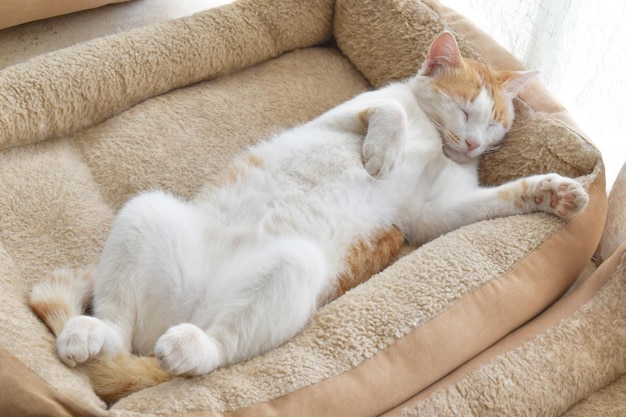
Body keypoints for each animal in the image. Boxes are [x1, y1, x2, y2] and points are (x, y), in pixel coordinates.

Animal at [28, 30, 584, 402]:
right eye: (466, 108)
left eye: (495, 125)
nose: (471, 144)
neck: (434, 140)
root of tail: (188, 313)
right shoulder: (343, 115)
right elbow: (390, 112)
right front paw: (383, 154)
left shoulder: (430, 214)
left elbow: (496, 198)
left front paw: (554, 191)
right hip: (145, 210)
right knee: (116, 330)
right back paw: (89, 332)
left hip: (294, 266)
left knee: (219, 346)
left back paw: (190, 347)